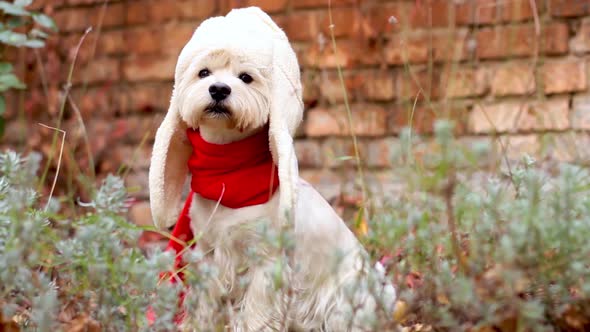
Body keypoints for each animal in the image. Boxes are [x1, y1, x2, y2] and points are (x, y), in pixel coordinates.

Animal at [149, 6, 398, 330]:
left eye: (246, 77)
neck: (227, 171)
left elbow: (256, 311)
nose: (218, 89)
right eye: (203, 72)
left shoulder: (267, 263)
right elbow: (203, 305)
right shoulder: (208, 254)